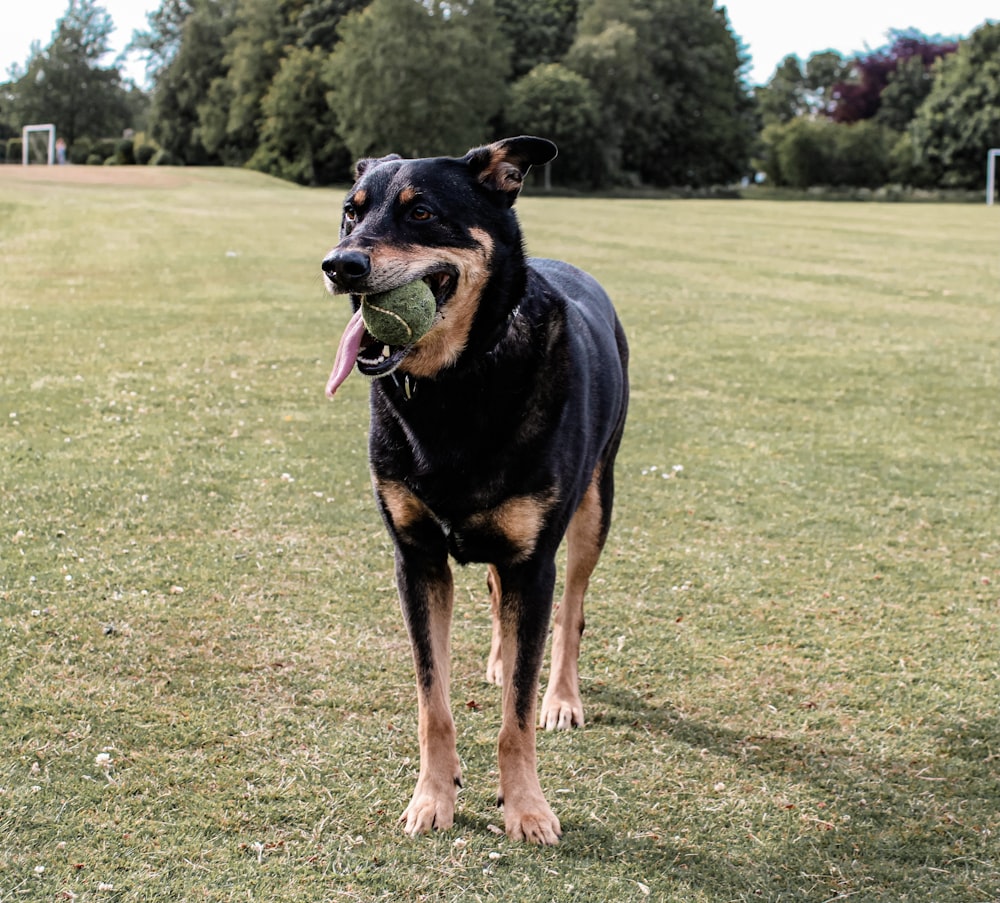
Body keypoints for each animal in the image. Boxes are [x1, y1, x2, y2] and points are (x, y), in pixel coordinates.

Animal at [320, 136, 628, 848]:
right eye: (350, 212)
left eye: (422, 212)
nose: (339, 266)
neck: (455, 384)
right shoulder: (417, 559)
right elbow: (432, 701)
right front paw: (432, 797)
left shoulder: (533, 562)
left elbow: (515, 713)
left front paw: (527, 808)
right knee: (496, 595)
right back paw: (497, 657)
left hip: (594, 507)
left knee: (571, 611)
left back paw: (561, 697)